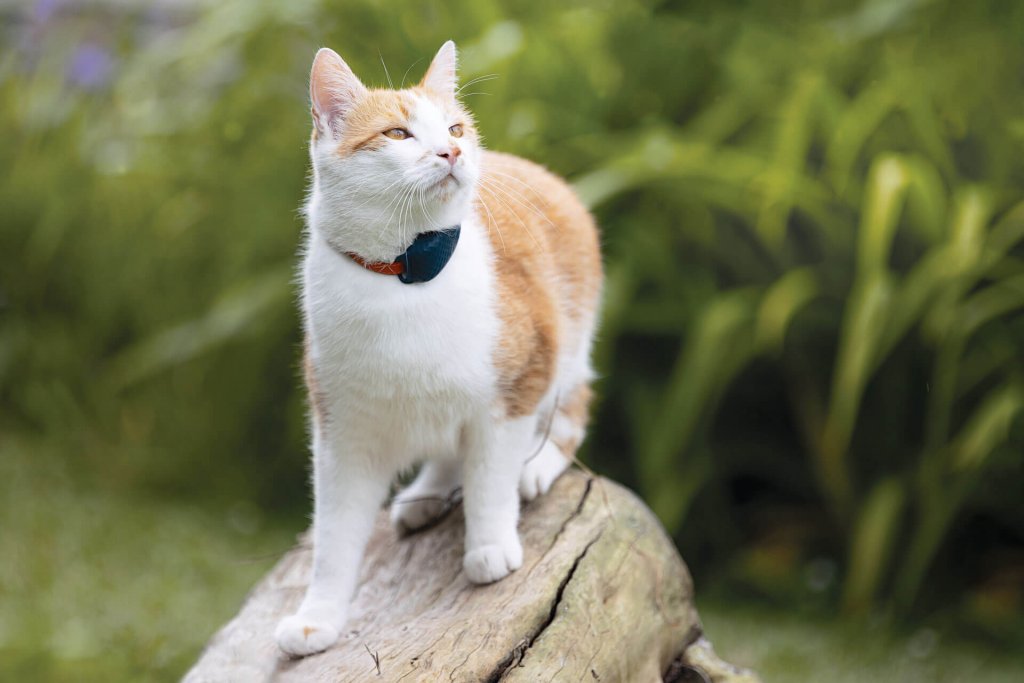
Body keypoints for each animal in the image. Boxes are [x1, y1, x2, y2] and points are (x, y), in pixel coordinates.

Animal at [276, 41, 602, 655]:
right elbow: (334, 535)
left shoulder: (516, 387)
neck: (403, 275)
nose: (452, 150)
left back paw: (538, 465)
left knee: (569, 409)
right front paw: (318, 616)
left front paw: (489, 545)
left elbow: (491, 477)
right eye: (398, 134)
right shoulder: (343, 435)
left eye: (454, 127)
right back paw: (427, 493)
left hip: (569, 343)